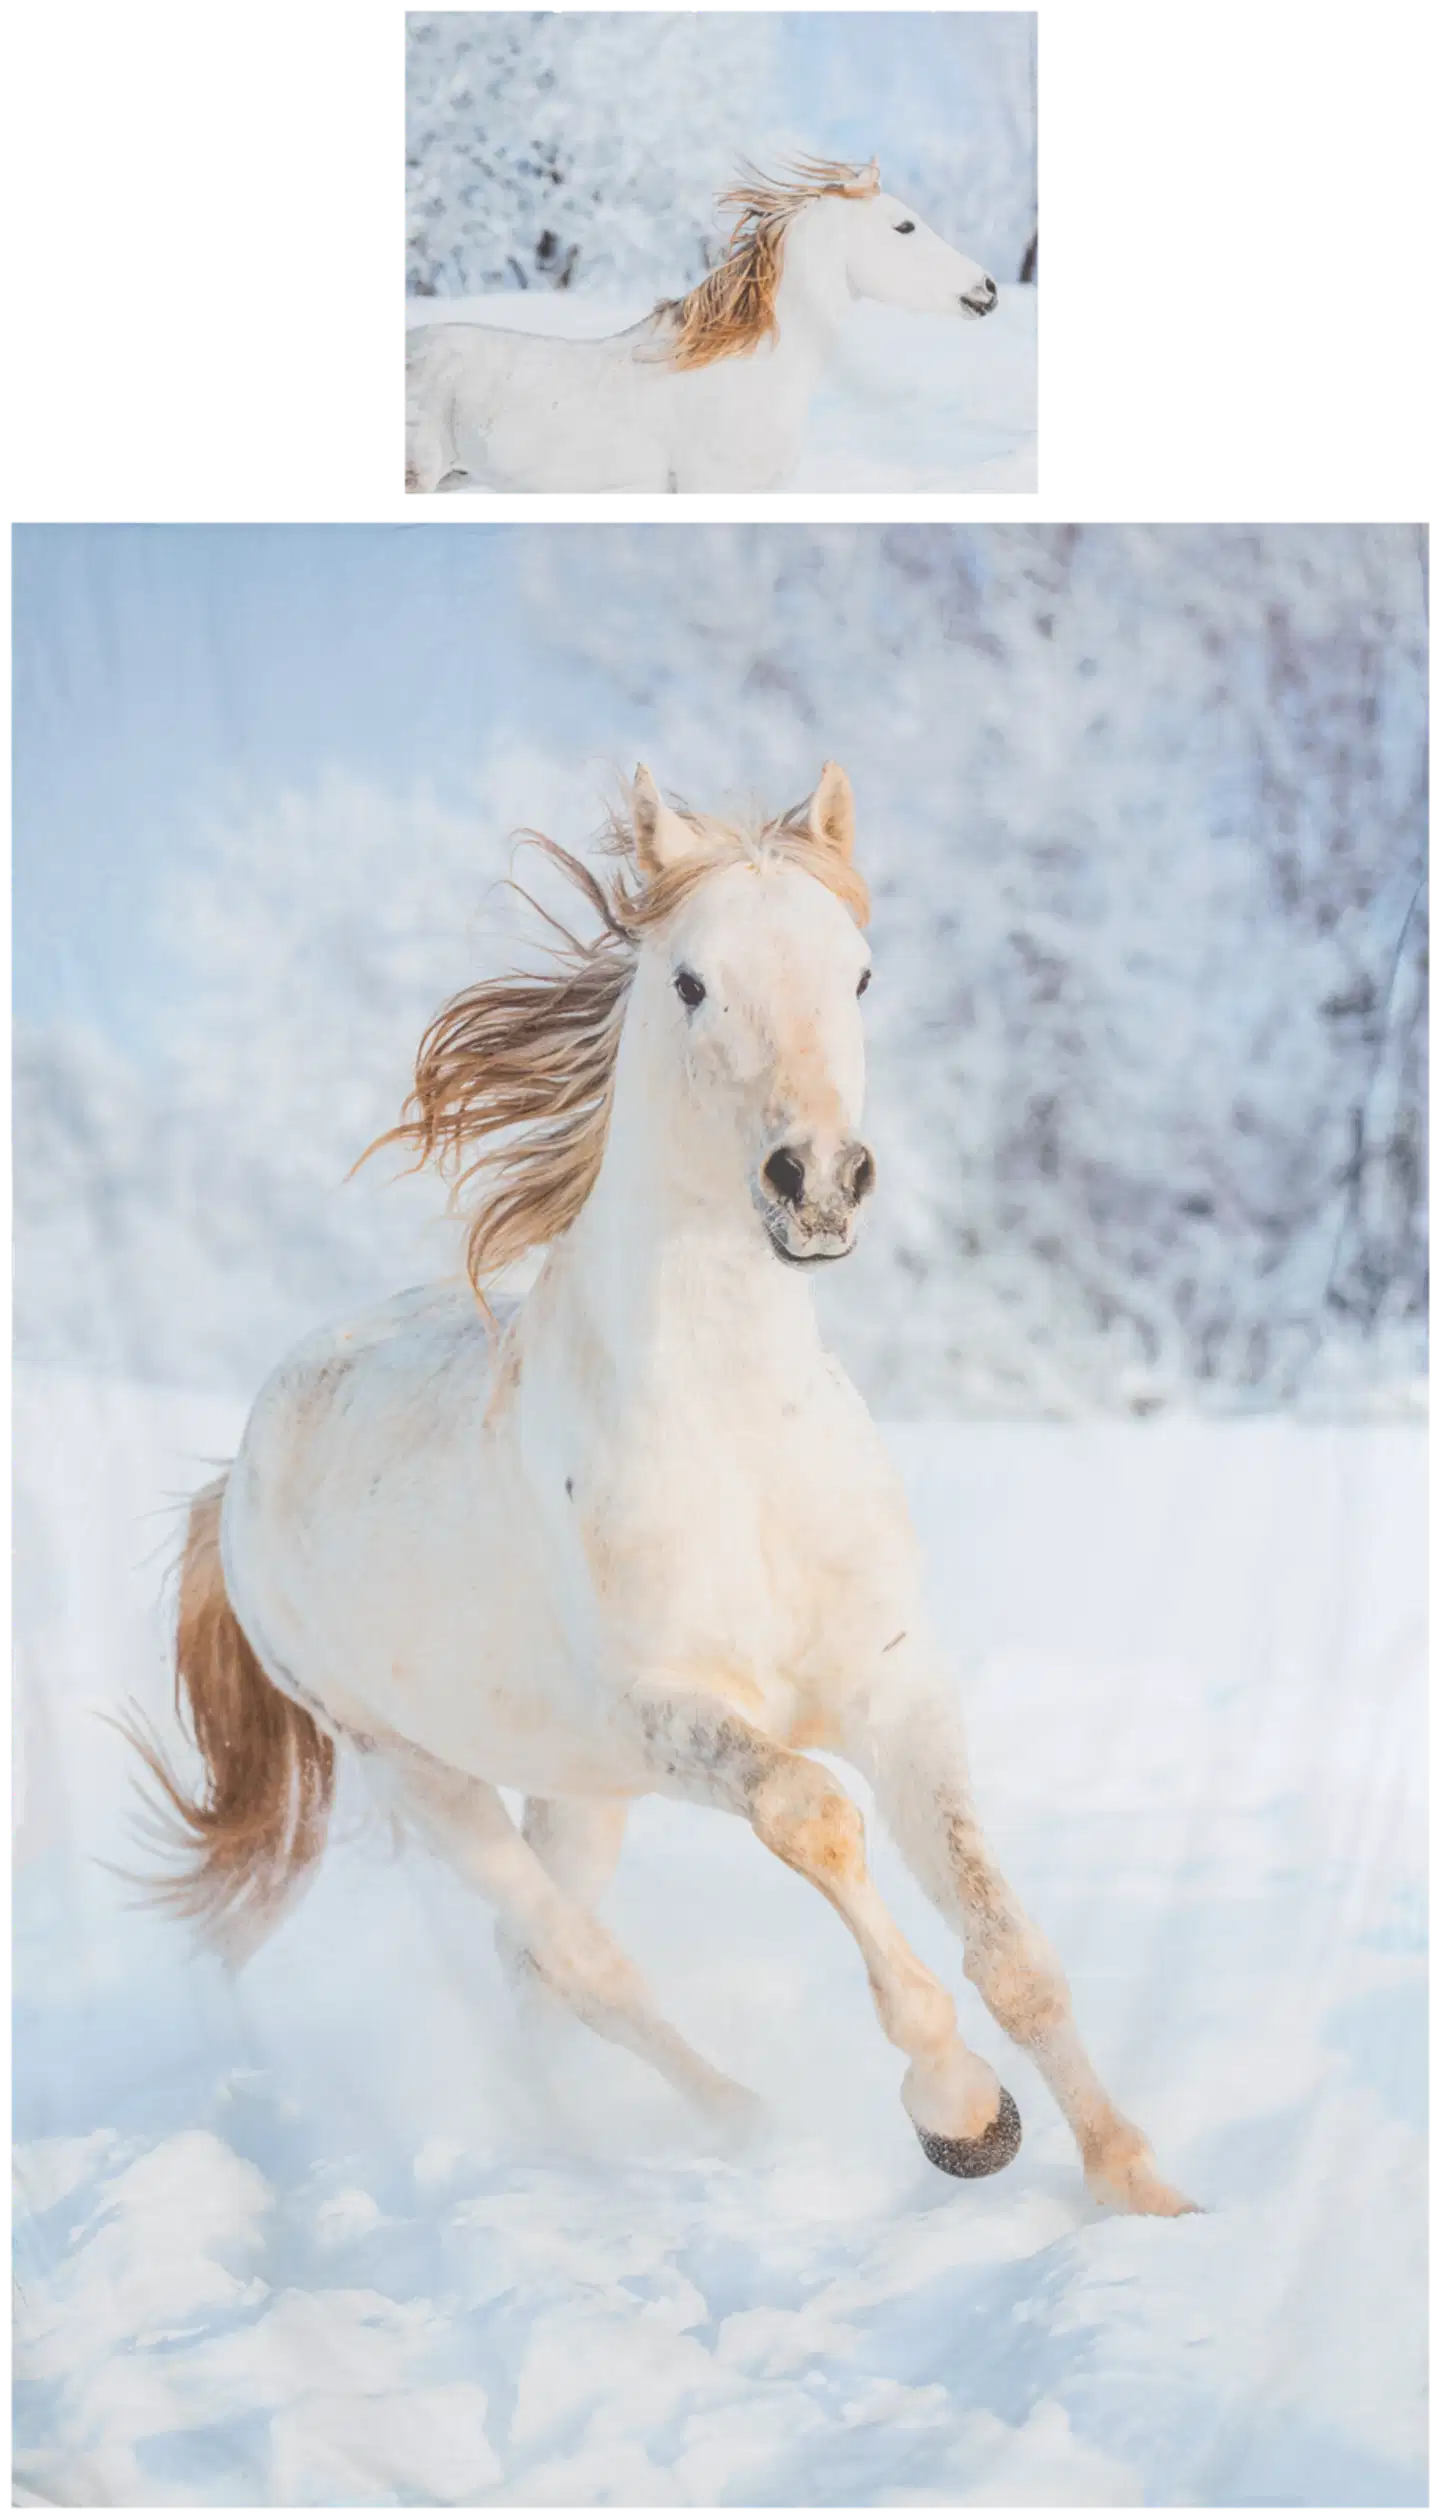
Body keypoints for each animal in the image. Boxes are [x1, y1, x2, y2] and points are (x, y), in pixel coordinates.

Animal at [124, 764, 1195, 2217]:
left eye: (860, 974)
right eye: (692, 981)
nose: (818, 1182)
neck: (738, 1438)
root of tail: (237, 1470)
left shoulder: (896, 1684)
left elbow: (1006, 1938)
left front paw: (1141, 2188)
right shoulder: (669, 1715)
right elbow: (813, 1813)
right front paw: (962, 2112)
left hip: (574, 1784)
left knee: (540, 1967)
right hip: (421, 1771)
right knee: (577, 1960)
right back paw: (721, 2130)